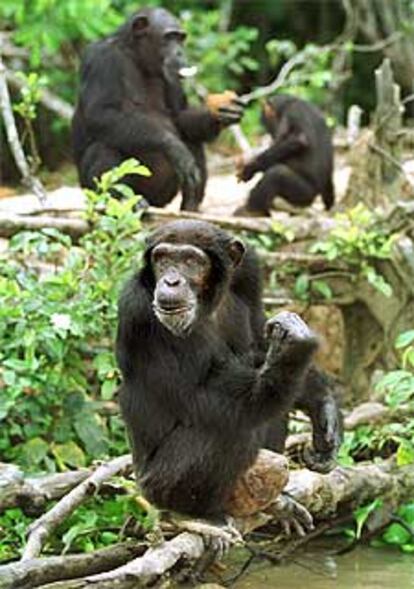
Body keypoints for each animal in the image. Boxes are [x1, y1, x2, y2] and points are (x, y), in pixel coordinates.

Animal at [72, 8, 243, 210]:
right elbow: (100, 113)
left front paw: (218, 113)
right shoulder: (100, 58)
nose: (179, 52)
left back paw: (190, 204)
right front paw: (174, 148)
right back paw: (122, 201)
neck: (135, 55)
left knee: (192, 138)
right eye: (169, 37)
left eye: (180, 38)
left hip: (162, 197)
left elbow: (179, 116)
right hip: (92, 192)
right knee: (103, 148)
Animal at [116, 219, 342, 532]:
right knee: (229, 427)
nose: (171, 281)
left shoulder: (249, 271)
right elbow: (199, 398)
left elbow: (259, 342)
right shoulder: (138, 311)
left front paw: (324, 409)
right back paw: (194, 515)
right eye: (162, 259)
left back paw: (275, 502)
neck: (208, 301)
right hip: (157, 488)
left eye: (191, 261)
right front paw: (295, 348)